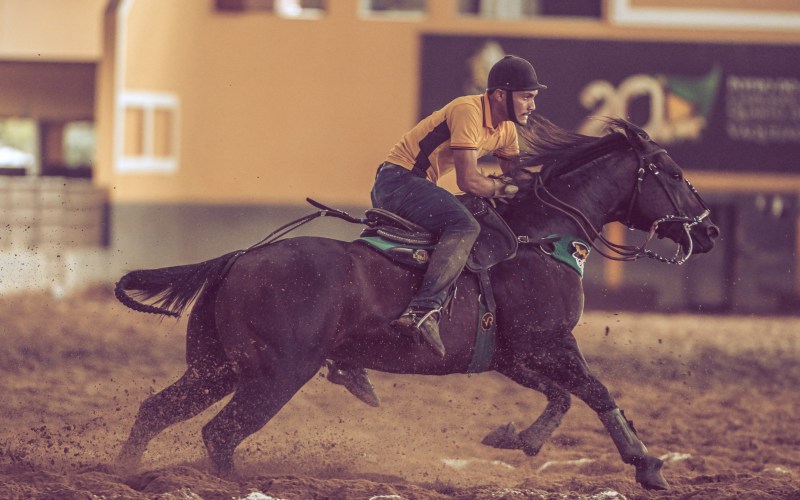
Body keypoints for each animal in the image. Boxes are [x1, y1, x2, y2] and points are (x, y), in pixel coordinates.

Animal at [112, 116, 719, 491]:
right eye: (673, 172)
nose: (709, 232)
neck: (541, 239)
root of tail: (239, 258)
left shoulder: (516, 356)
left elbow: (562, 397)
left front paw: (513, 437)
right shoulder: (550, 343)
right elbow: (596, 392)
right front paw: (647, 465)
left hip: (216, 368)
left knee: (156, 412)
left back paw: (123, 473)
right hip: (274, 375)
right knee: (219, 434)